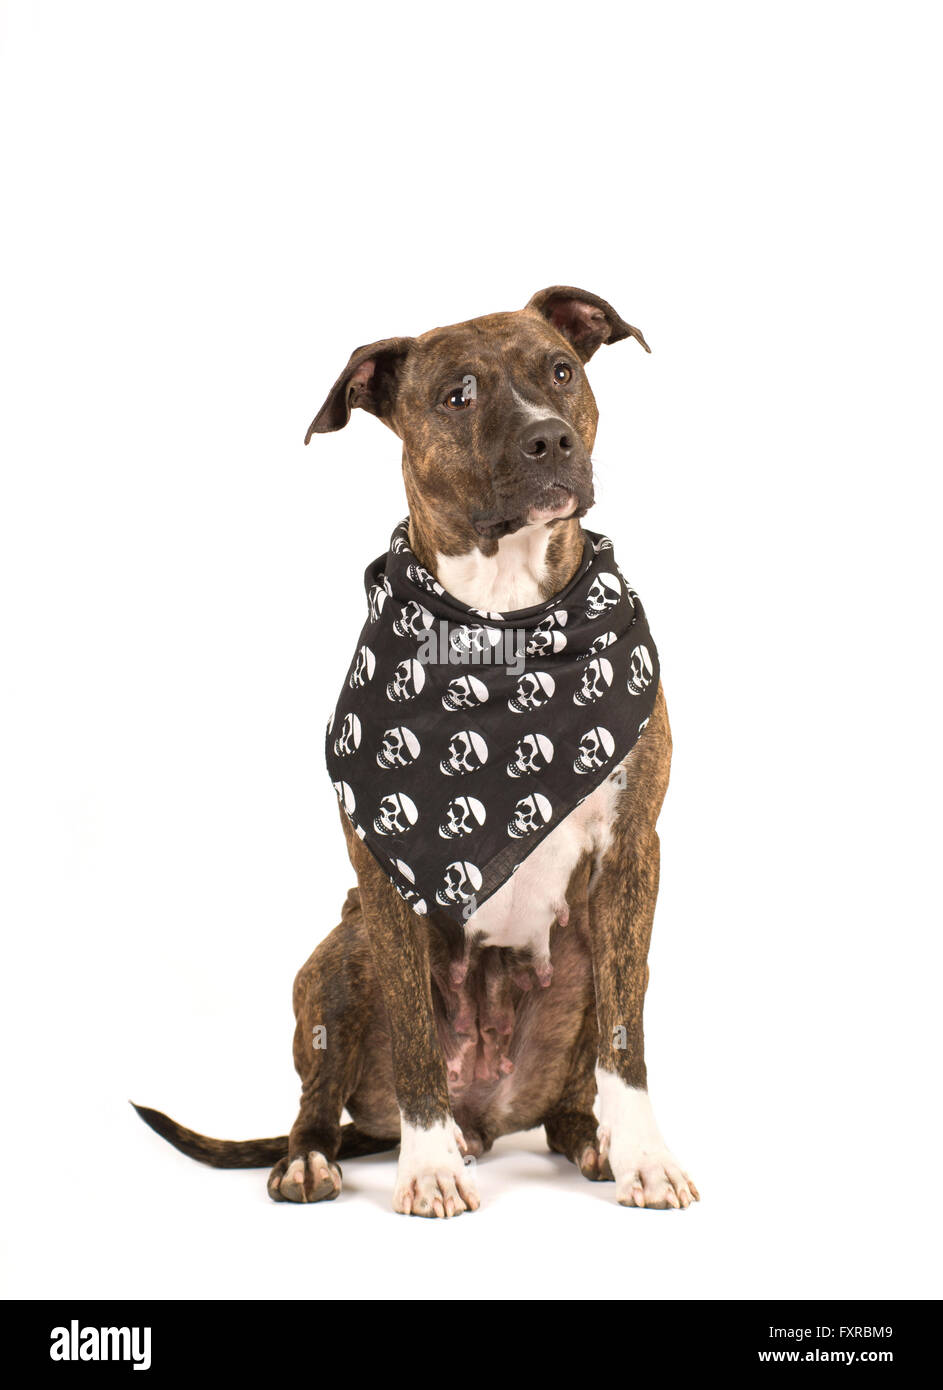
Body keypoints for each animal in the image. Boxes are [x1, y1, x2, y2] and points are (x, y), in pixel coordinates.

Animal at [138, 284, 700, 1217]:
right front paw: (428, 1169)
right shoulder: (381, 877)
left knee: (573, 1092)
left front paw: (645, 1159)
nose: (551, 437)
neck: (502, 622)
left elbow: (627, 1037)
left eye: (561, 370)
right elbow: (412, 1044)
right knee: (320, 1097)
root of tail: (489, 1117)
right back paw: (316, 1159)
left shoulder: (630, 856)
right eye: (457, 395)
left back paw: (592, 1142)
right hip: (344, 951)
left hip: (578, 964)